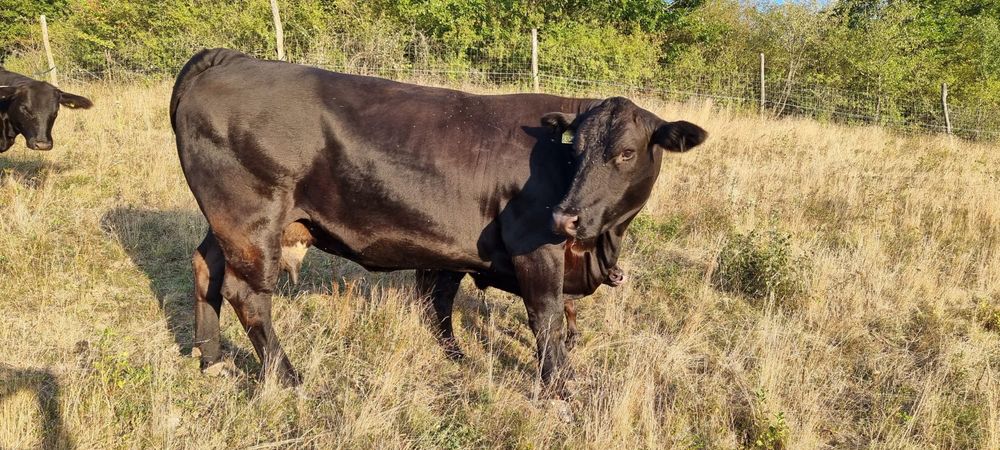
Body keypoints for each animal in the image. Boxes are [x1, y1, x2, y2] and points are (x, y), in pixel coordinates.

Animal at [171, 48, 706, 395]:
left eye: (626, 153)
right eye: (575, 150)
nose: (566, 217)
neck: (601, 243)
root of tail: (229, 58)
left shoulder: (451, 250)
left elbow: (441, 304)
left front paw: (456, 356)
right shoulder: (535, 248)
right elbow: (548, 317)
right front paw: (562, 387)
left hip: (225, 224)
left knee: (205, 268)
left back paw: (210, 359)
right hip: (252, 221)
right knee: (247, 295)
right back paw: (287, 378)